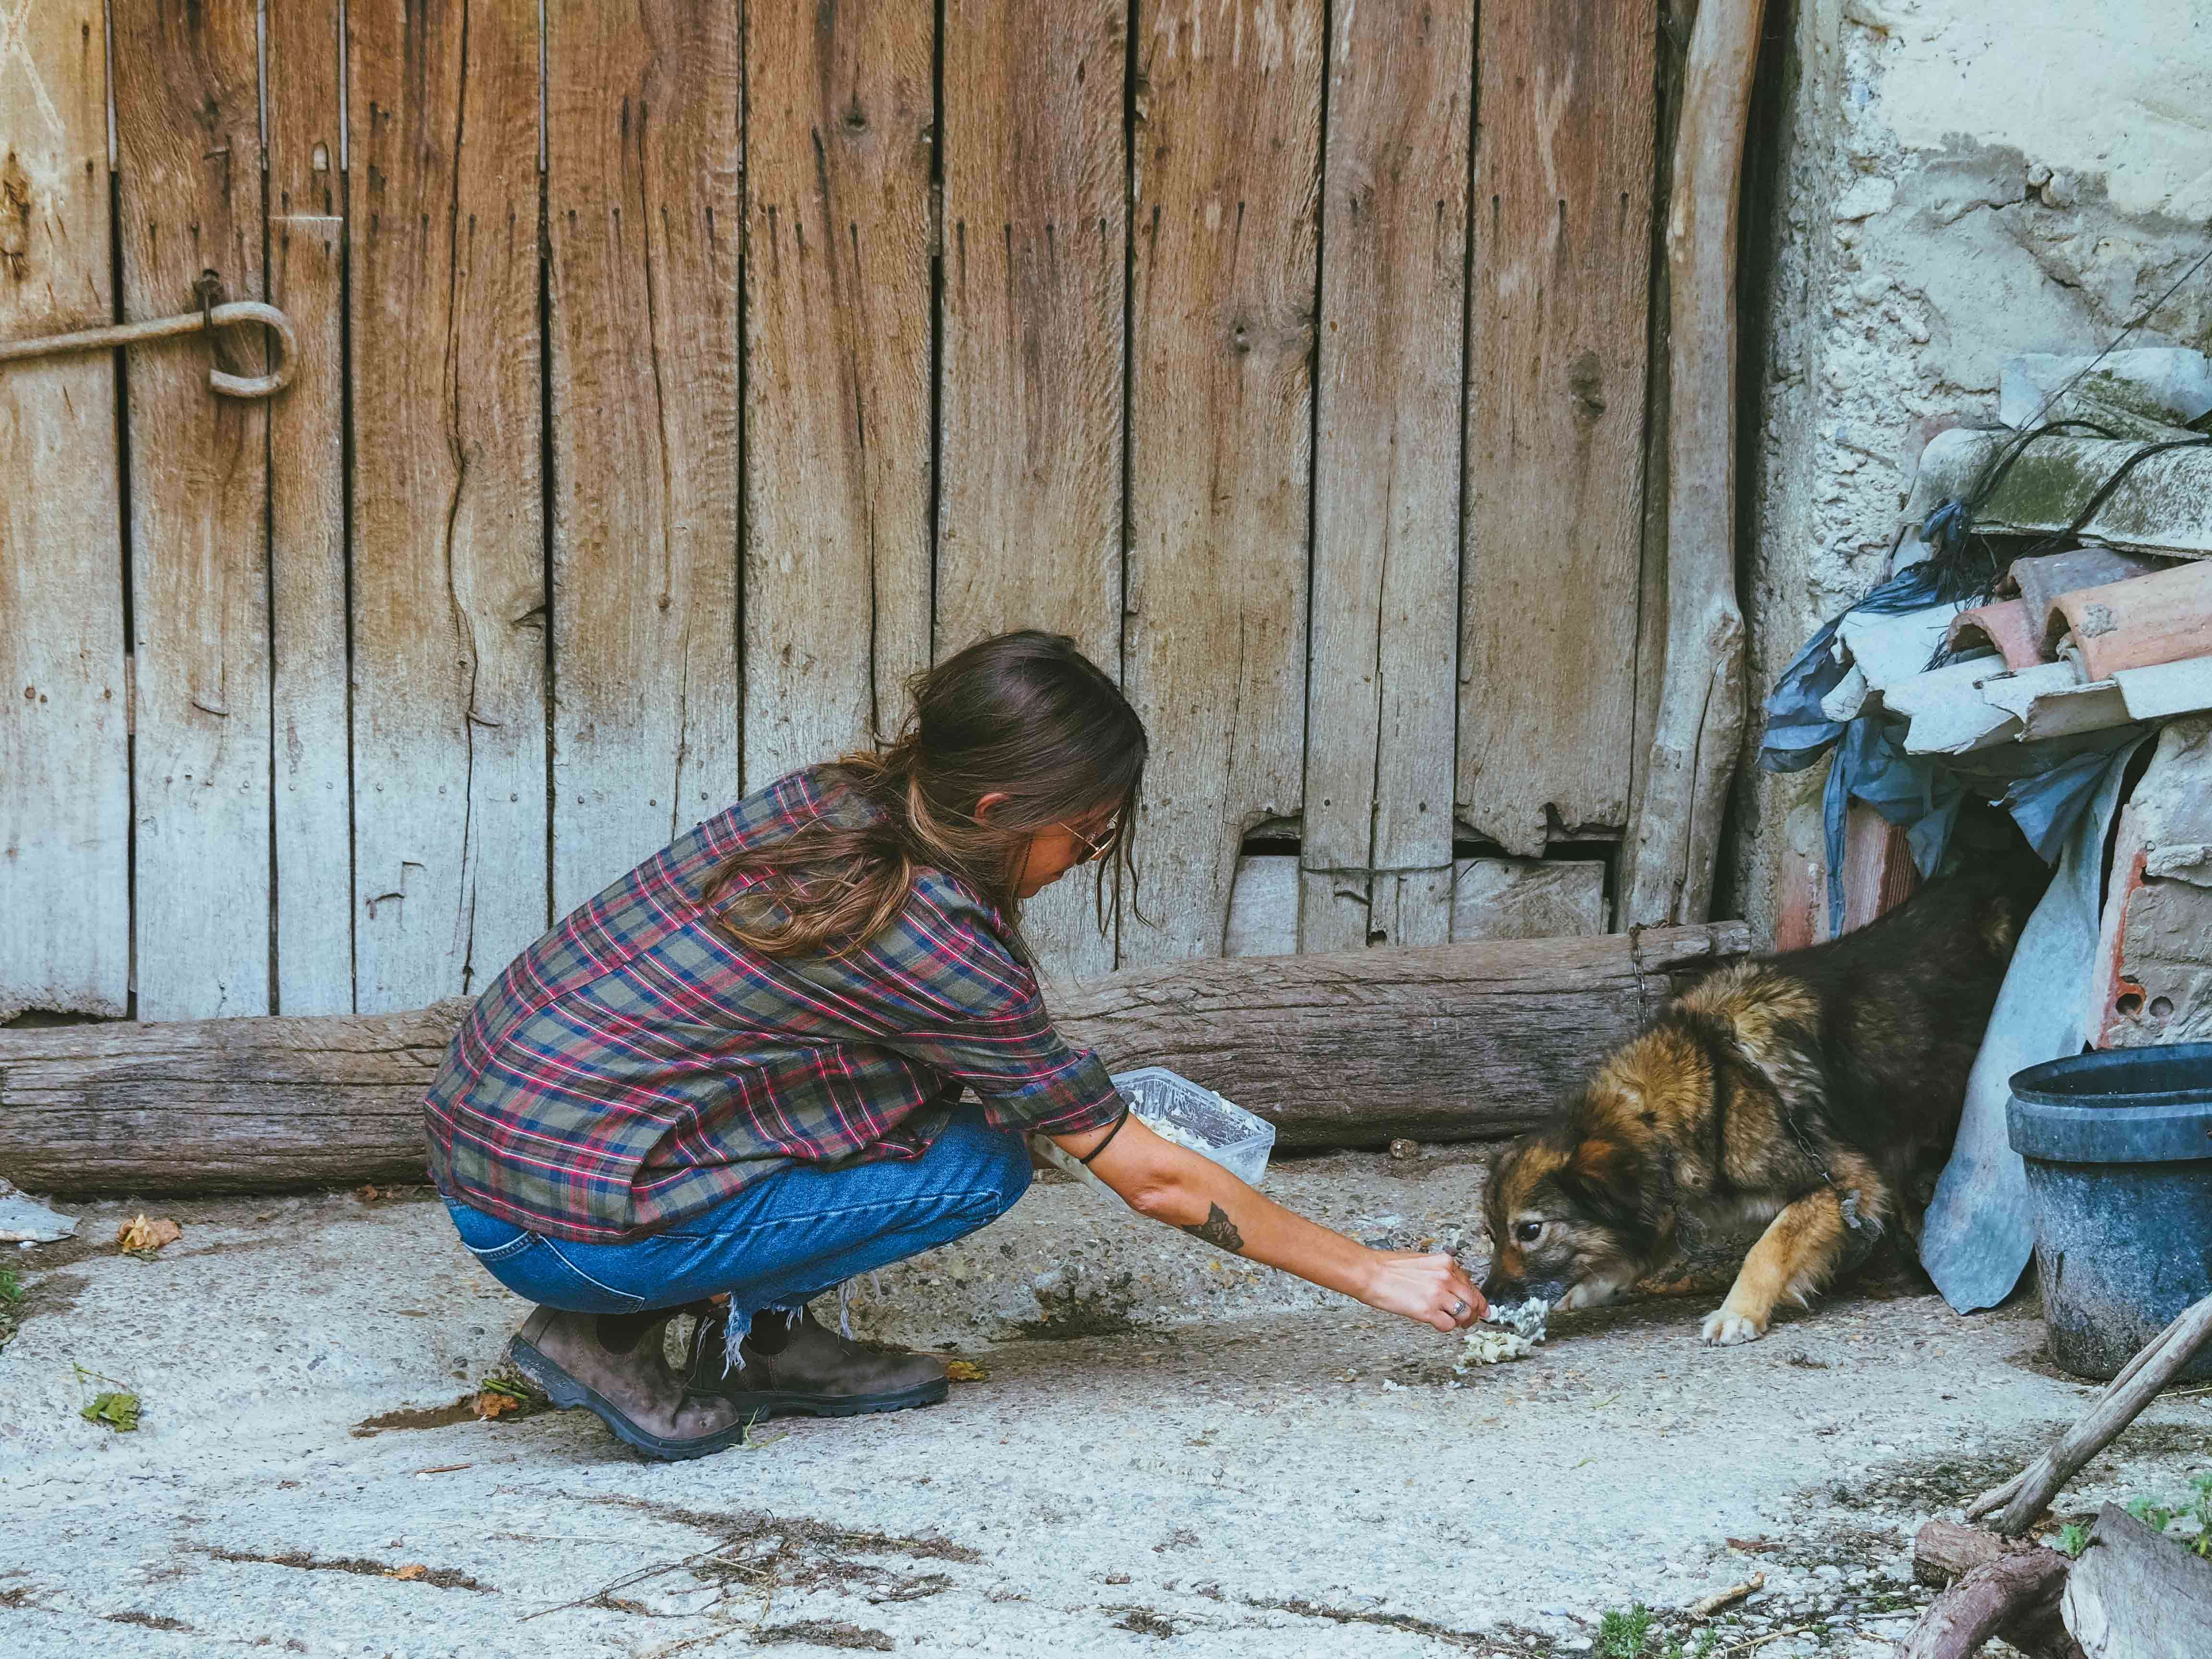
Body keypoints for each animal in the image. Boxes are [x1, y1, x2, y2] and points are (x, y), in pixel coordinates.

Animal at [1486, 871, 2035, 1354]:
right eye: (1491, 1234)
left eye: (1530, 1231)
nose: (1488, 1303)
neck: (1709, 1088)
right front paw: (1594, 1286)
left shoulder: (1846, 1182)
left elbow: (1769, 1247)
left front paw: (1738, 1311)